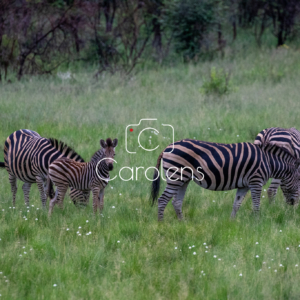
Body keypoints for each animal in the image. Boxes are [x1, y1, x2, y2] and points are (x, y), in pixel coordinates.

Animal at [151, 139, 300, 220]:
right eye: (299, 181)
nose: (294, 205)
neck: (268, 161)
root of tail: (167, 147)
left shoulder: (244, 185)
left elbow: (237, 204)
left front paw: (231, 223)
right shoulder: (255, 182)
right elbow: (256, 204)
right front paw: (257, 222)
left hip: (183, 180)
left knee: (176, 202)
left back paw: (183, 223)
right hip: (175, 177)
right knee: (162, 200)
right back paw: (161, 223)